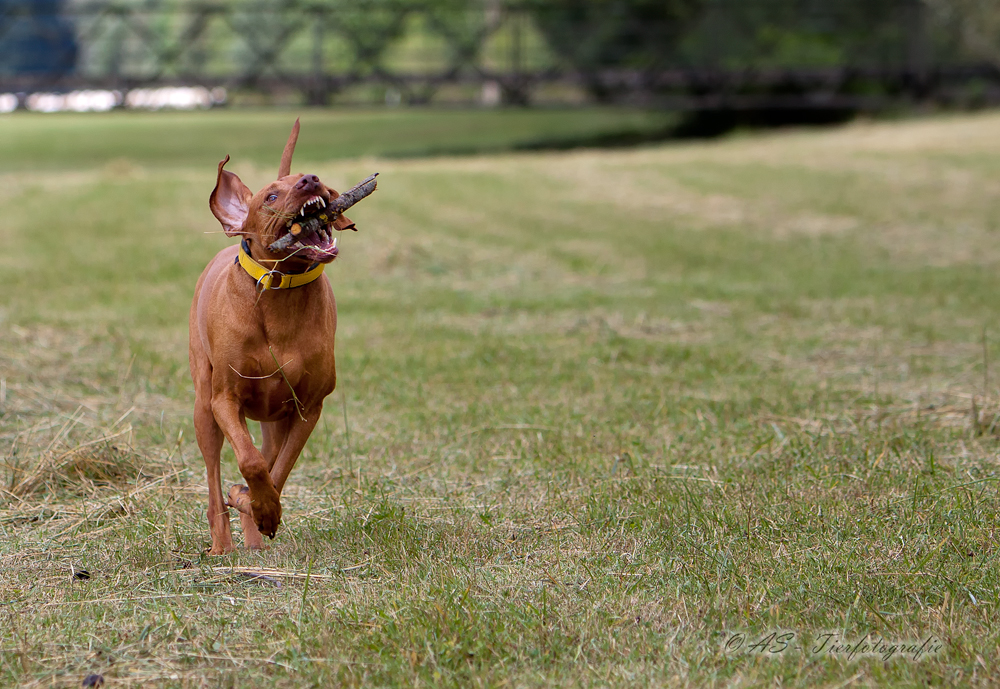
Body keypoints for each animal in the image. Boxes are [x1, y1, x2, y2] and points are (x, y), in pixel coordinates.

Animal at [188, 119, 376, 552]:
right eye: (272, 195)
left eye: (312, 177)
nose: (310, 180)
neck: (278, 294)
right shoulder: (225, 400)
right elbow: (250, 460)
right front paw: (252, 502)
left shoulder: (308, 407)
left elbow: (278, 469)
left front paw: (261, 508)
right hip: (204, 407)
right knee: (214, 483)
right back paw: (223, 545)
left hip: (272, 418)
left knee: (267, 457)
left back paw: (253, 533)